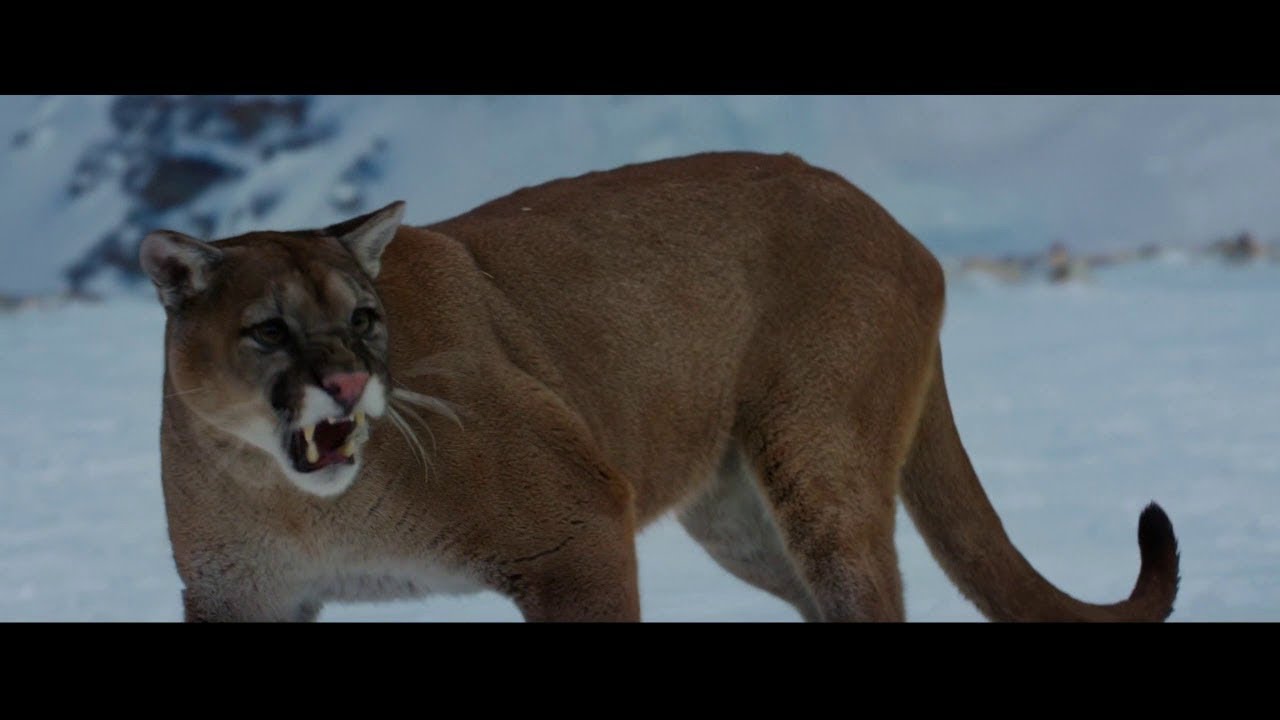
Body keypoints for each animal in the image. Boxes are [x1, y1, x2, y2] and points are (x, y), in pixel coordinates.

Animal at [140, 151, 1180, 621]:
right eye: (269, 329)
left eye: (363, 316)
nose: (353, 381)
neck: (295, 501)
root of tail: (893, 222)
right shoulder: (242, 597)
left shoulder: (574, 531)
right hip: (739, 514)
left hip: (819, 462)